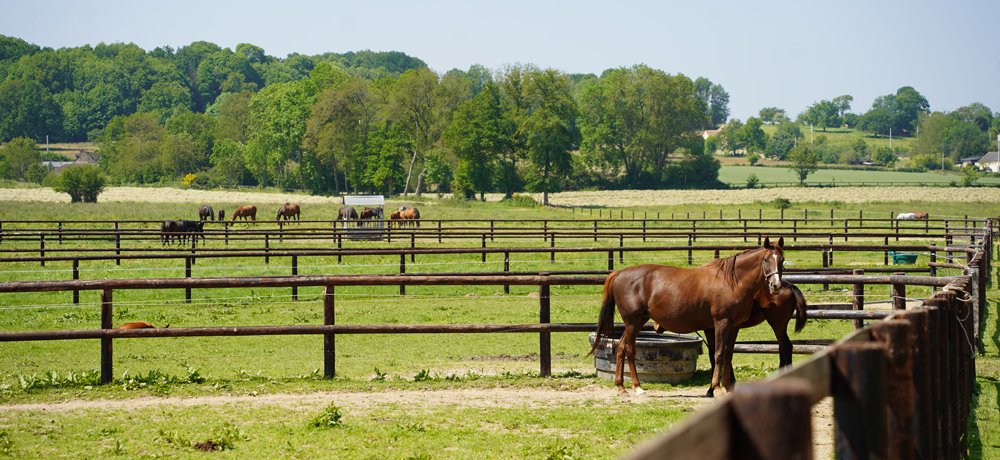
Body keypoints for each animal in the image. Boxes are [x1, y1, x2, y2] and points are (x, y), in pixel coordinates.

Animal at [590, 237, 785, 397]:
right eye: (766, 259)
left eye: (781, 260)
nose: (775, 286)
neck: (732, 281)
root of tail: (620, 273)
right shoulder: (721, 323)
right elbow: (719, 354)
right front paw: (716, 388)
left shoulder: (734, 326)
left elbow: (728, 355)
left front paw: (728, 387)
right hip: (632, 321)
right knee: (629, 349)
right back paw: (637, 387)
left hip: (638, 321)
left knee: (621, 347)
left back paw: (621, 387)